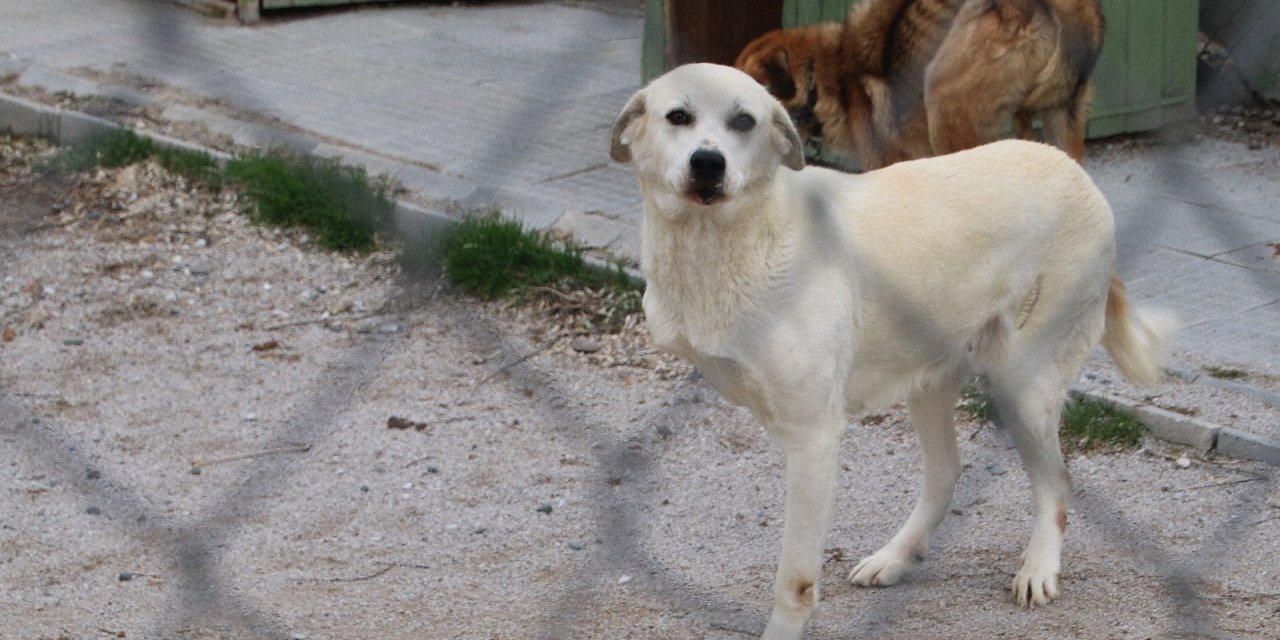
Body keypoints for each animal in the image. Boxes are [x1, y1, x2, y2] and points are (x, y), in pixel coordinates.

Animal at [614, 62, 1172, 637]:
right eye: (678, 116)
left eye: (743, 121)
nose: (708, 163)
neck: (728, 240)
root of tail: (1075, 171)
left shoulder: (813, 440)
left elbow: (793, 581)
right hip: (930, 379)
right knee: (947, 473)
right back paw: (894, 558)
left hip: (1023, 385)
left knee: (1057, 482)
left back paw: (1038, 569)